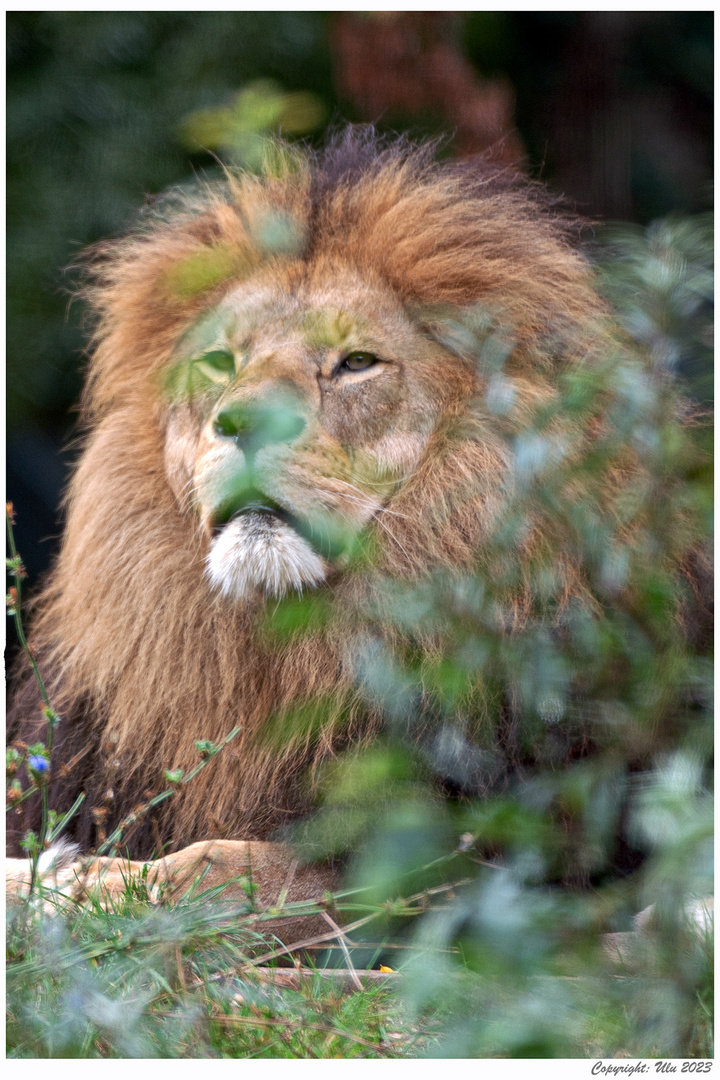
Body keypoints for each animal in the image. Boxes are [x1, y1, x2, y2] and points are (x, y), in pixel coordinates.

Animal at [11, 128, 695, 894]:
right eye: (219, 363)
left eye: (357, 363)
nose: (245, 422)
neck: (282, 648)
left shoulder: (471, 864)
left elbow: (229, 867)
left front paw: (84, 883)